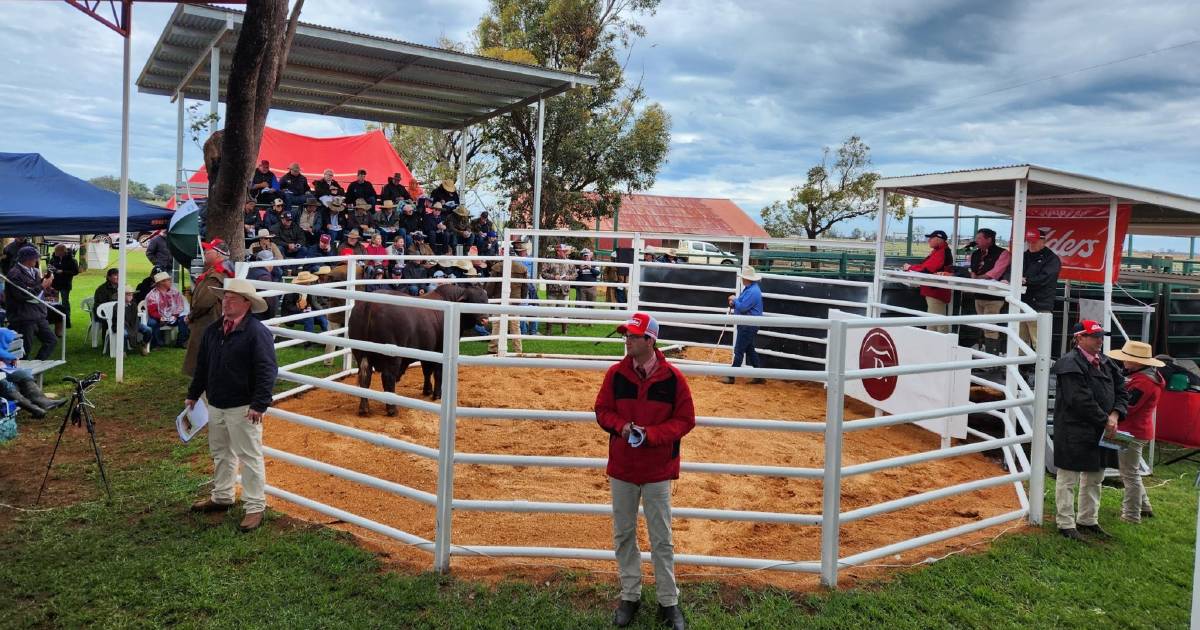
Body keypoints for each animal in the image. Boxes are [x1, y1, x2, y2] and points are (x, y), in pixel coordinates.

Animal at [350, 283, 489, 412]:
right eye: (473, 300)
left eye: (485, 299)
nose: (485, 320)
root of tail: (370, 304)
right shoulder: (440, 350)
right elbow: (437, 373)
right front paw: (437, 394)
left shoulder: (426, 350)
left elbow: (426, 371)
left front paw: (427, 390)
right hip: (392, 356)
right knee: (388, 377)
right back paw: (392, 409)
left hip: (360, 353)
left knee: (365, 377)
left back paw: (364, 408)